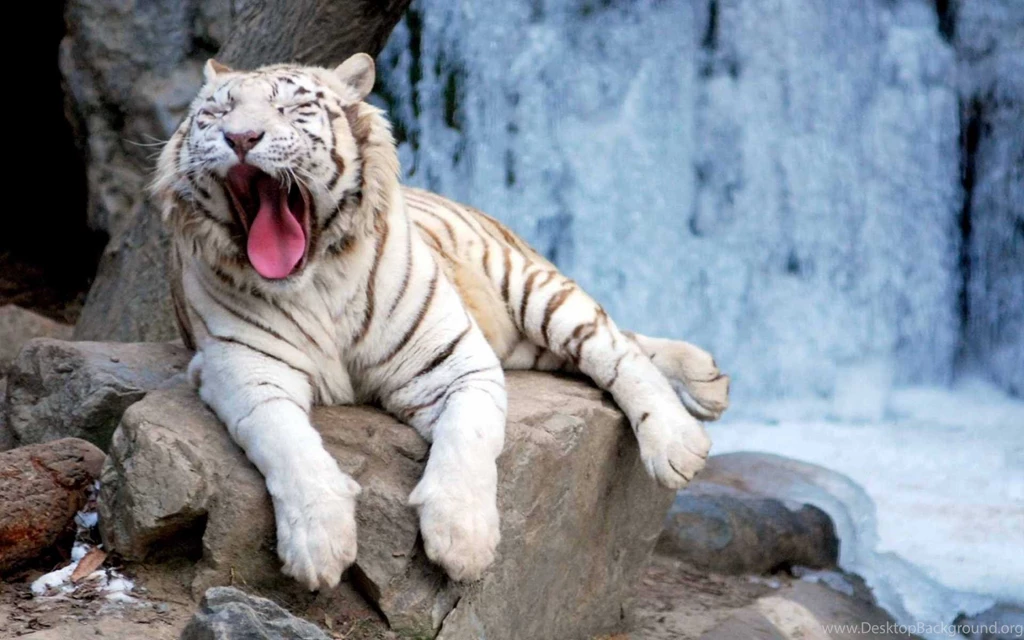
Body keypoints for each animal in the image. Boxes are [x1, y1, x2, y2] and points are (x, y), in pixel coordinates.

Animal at [151, 53, 729, 592]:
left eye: (291, 108)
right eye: (216, 112)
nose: (240, 137)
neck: (315, 281)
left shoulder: (454, 360)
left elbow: (469, 437)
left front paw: (462, 539)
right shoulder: (245, 371)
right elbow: (287, 443)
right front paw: (319, 543)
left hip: (530, 287)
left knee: (613, 345)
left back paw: (681, 437)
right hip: (524, 344)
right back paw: (708, 378)